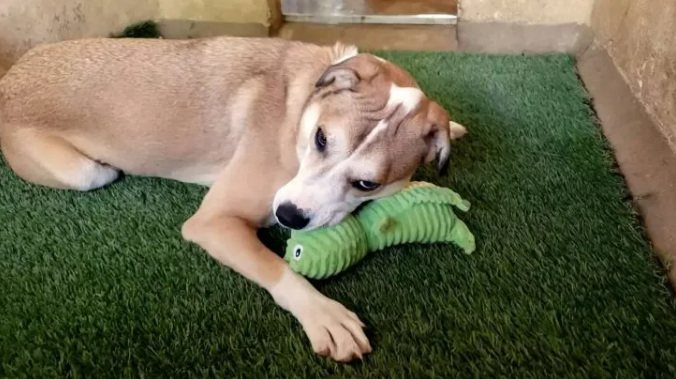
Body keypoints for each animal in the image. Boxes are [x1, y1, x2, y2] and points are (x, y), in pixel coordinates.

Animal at [0, 37, 464, 364]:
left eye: (367, 184)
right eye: (321, 139)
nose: (288, 215)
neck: (301, 106)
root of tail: (8, 80)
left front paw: (451, 132)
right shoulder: (213, 221)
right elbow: (276, 268)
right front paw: (323, 314)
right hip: (88, 174)